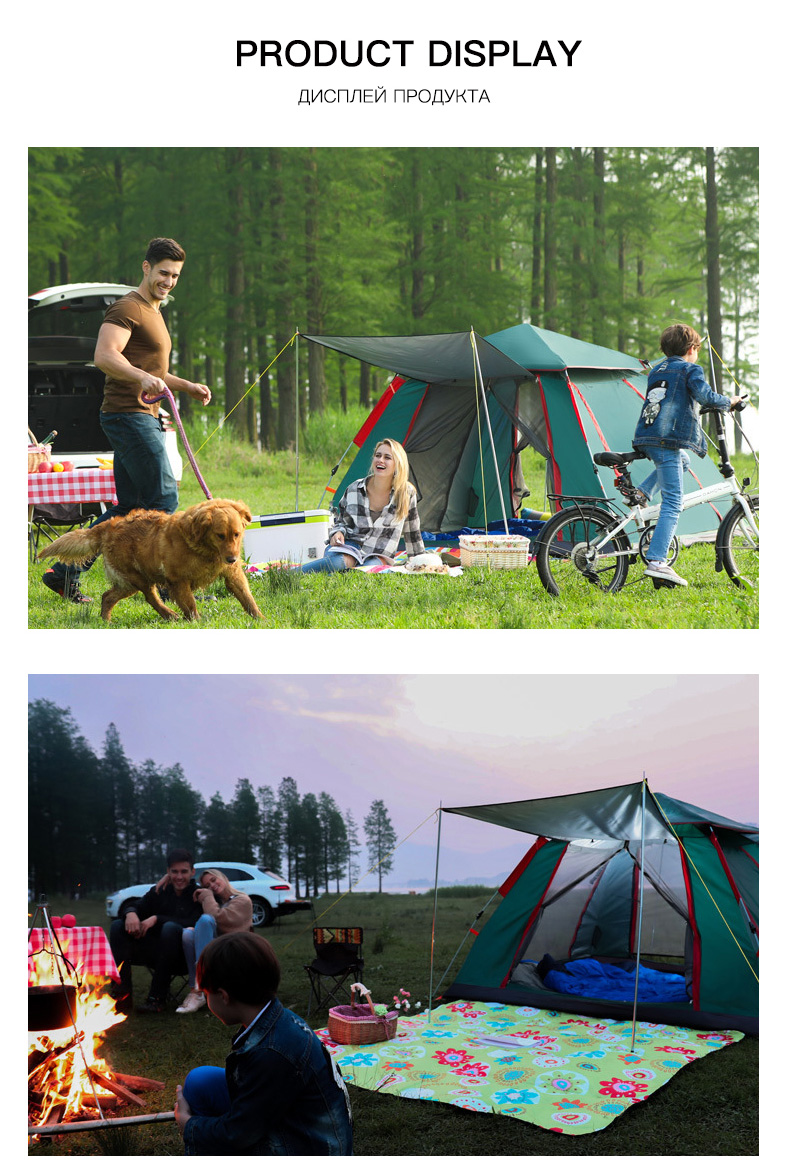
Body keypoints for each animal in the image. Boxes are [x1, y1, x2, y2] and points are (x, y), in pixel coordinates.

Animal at [39, 501, 263, 629]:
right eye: (220, 535)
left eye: (237, 534)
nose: (232, 559)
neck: (203, 549)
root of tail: (109, 525)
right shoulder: (177, 581)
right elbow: (190, 606)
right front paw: (197, 622)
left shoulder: (233, 575)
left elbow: (247, 598)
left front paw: (261, 619)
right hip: (138, 577)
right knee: (150, 597)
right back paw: (169, 614)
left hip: (127, 584)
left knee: (107, 596)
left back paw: (106, 620)